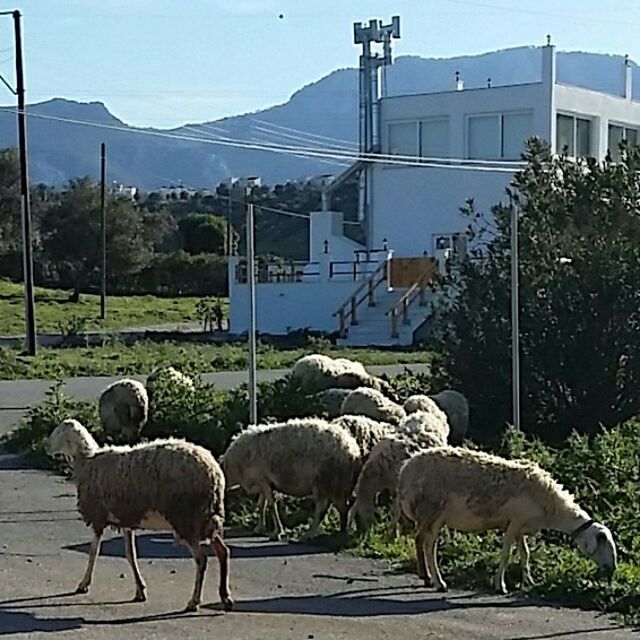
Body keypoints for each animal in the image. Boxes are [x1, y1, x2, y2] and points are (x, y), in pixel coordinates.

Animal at [47, 418, 232, 612]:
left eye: (58, 431)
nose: (46, 446)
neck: (87, 461)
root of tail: (214, 473)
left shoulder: (98, 517)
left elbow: (93, 552)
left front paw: (83, 584)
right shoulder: (126, 520)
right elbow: (130, 555)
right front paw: (140, 590)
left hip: (186, 519)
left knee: (201, 560)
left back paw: (194, 602)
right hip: (206, 519)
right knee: (223, 552)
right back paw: (225, 598)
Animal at [221, 416, 362, 540]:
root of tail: (352, 448)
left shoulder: (263, 481)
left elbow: (271, 506)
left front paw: (277, 532)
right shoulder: (263, 482)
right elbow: (262, 505)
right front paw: (259, 528)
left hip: (327, 481)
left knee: (325, 508)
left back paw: (313, 534)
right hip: (334, 484)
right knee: (340, 507)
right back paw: (340, 531)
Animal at [398, 448, 616, 592]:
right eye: (604, 542)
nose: (612, 569)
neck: (552, 507)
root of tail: (406, 469)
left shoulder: (521, 527)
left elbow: (525, 554)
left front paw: (529, 581)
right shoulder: (514, 523)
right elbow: (506, 555)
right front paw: (500, 585)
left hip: (429, 516)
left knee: (421, 541)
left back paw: (427, 577)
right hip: (431, 511)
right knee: (429, 546)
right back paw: (438, 582)